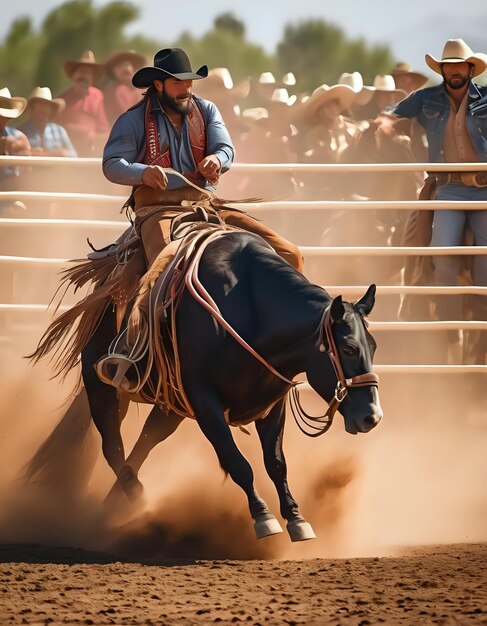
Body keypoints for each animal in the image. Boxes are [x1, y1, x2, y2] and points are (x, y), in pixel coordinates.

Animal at [30, 227, 384, 540]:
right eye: (348, 348)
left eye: (373, 345)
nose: (372, 416)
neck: (250, 310)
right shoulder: (204, 401)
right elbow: (236, 460)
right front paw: (263, 517)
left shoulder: (272, 403)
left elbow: (276, 463)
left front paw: (297, 519)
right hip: (100, 386)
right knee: (112, 446)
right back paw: (139, 504)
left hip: (169, 407)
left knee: (145, 440)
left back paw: (116, 505)